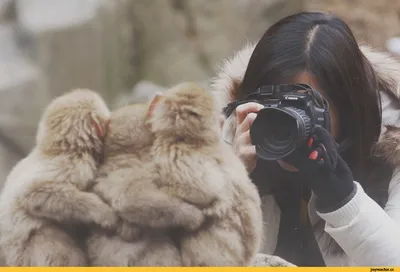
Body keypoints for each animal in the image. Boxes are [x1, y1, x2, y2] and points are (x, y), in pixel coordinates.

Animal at [0, 88, 119, 266]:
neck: (61, 148)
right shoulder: (77, 164)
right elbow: (33, 191)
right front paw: (103, 213)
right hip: (25, 254)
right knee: (52, 239)